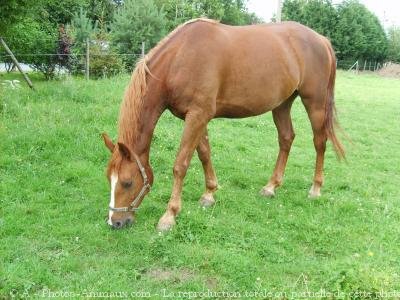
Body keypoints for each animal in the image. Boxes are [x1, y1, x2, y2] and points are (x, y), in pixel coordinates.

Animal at [102, 18, 344, 230]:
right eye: (109, 179)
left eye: (127, 182)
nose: (115, 222)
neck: (181, 58)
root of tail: (322, 40)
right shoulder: (196, 117)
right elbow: (204, 153)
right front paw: (209, 194)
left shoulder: (198, 115)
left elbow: (180, 164)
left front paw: (169, 216)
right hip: (282, 104)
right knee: (286, 138)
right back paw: (270, 187)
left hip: (315, 103)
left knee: (319, 142)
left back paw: (315, 189)